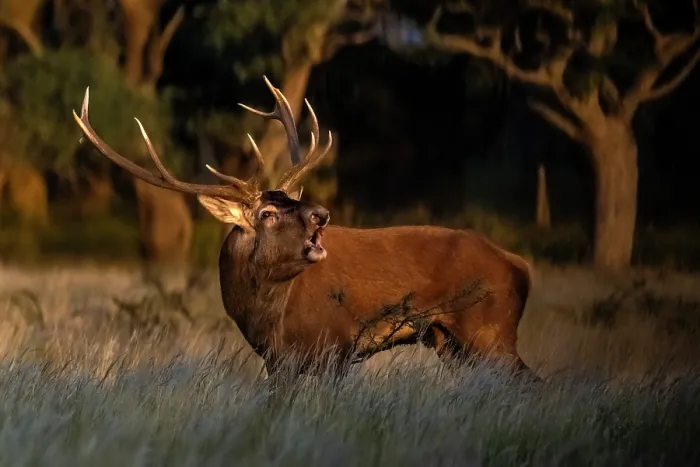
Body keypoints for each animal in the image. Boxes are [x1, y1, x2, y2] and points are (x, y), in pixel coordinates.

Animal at [72, 77, 539, 381]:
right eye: (267, 213)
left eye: (293, 201)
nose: (320, 213)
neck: (265, 315)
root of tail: (521, 265)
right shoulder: (278, 361)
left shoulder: (336, 346)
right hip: (451, 341)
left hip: (491, 330)